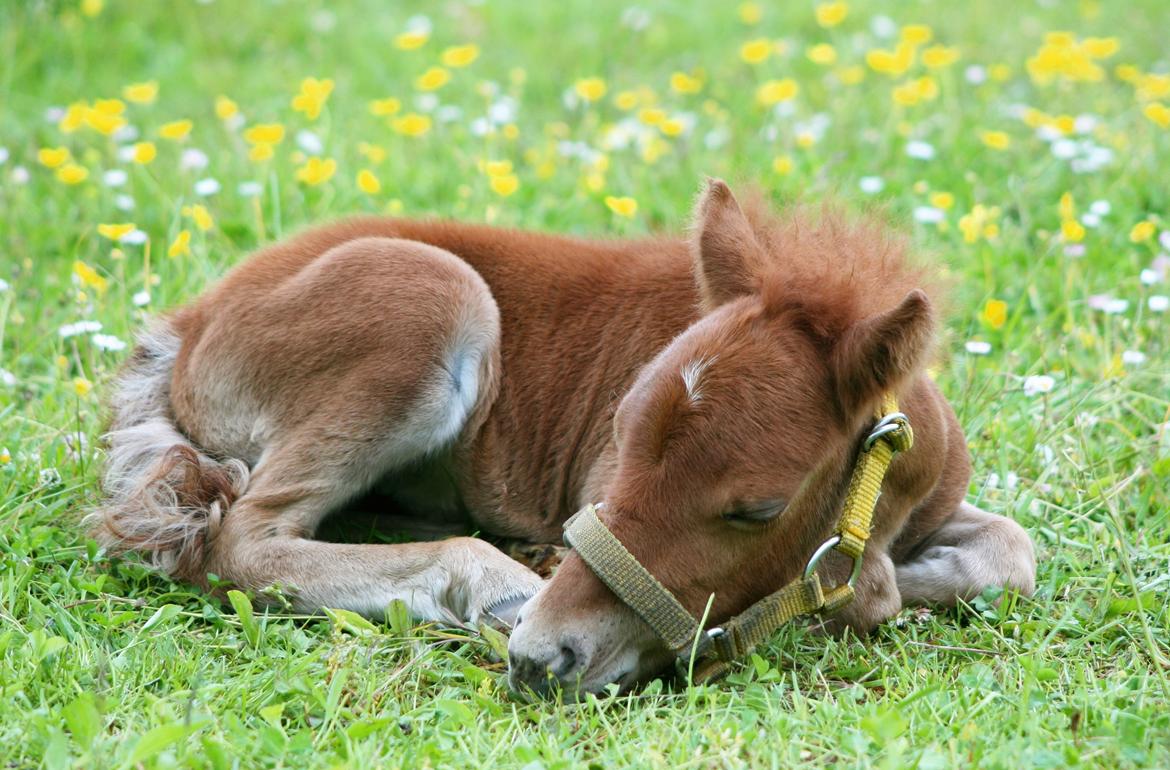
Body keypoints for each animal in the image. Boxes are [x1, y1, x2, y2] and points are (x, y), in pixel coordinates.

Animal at [89, 179, 1035, 695]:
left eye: (758, 509)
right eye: (617, 439)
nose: (546, 658)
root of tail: (191, 320)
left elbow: (1012, 553)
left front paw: (901, 579)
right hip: (434, 296)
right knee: (247, 537)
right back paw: (494, 584)